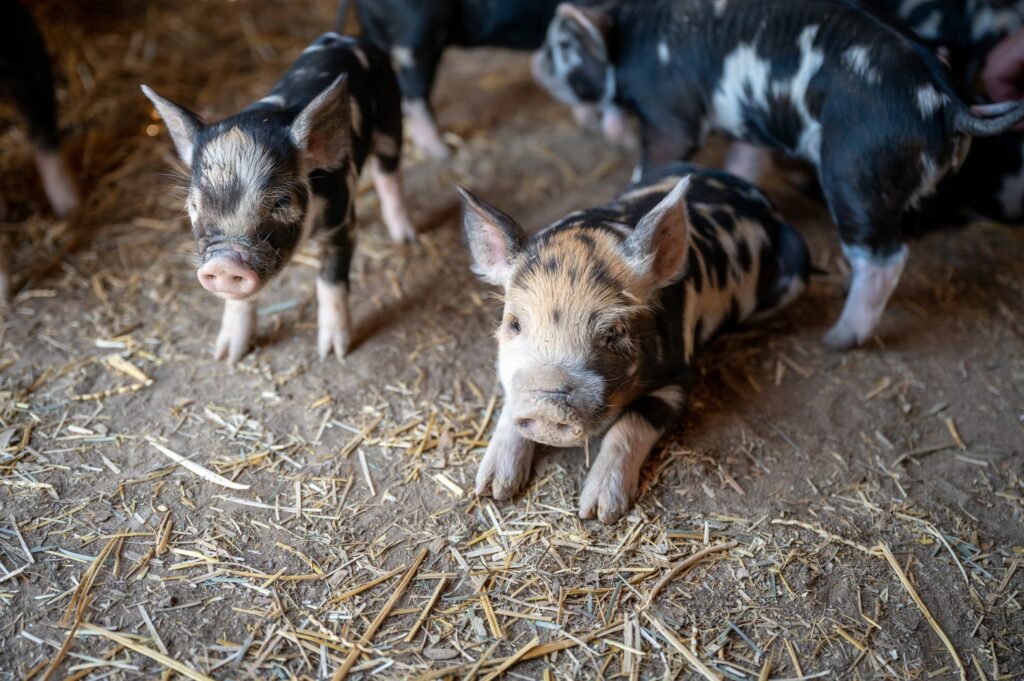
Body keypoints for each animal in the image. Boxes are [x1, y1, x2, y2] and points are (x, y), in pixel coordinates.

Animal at [142, 32, 416, 363]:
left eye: (281, 202)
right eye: (194, 205)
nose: (224, 264)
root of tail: (345, 37)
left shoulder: (342, 224)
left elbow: (331, 281)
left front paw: (333, 352)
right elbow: (240, 299)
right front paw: (227, 356)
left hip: (391, 117)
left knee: (389, 175)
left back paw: (406, 238)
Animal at [460, 163, 810, 523]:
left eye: (613, 332)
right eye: (514, 324)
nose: (546, 405)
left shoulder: (680, 378)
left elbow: (632, 422)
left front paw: (599, 511)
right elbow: (510, 405)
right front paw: (492, 489)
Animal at [531, 0, 1024, 350]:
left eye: (562, 48)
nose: (536, 64)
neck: (634, 37)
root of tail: (948, 103)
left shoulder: (669, 113)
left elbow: (656, 161)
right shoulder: (749, 122)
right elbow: (745, 163)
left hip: (854, 170)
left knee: (885, 257)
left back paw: (837, 339)